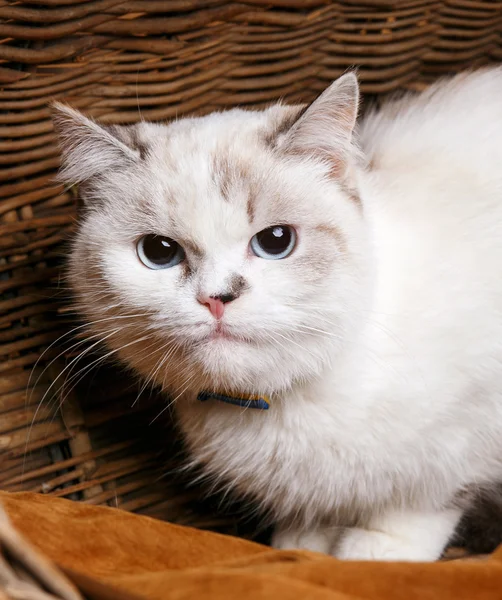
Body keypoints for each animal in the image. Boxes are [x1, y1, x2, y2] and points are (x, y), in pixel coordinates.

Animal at [52, 68, 502, 560]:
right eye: (158, 252)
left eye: (276, 241)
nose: (217, 298)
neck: (280, 404)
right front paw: (304, 544)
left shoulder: (468, 429)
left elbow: (419, 502)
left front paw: (374, 554)